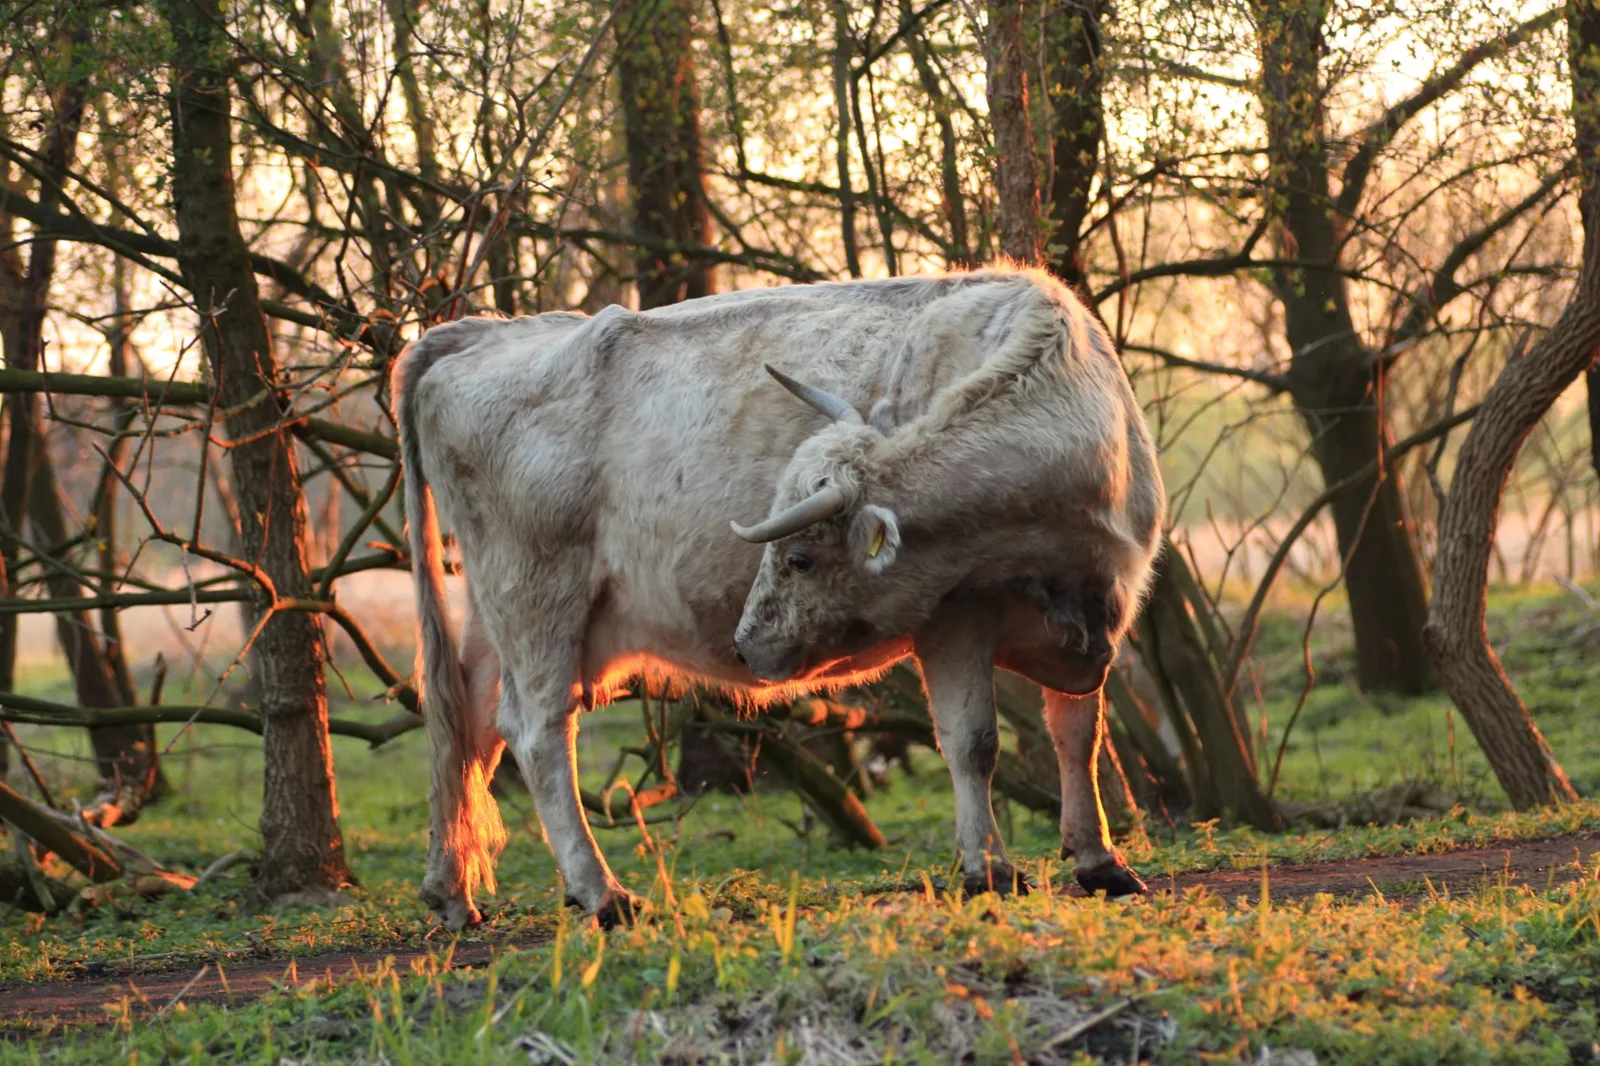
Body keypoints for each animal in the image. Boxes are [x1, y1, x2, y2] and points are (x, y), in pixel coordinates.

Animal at [392, 266, 1165, 930]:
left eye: (798, 556)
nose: (744, 645)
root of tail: (478, 333)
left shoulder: (1095, 616)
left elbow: (1079, 736)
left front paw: (1100, 861)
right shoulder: (955, 618)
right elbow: (973, 743)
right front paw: (990, 871)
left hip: (493, 609)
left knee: (466, 721)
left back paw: (451, 891)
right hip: (537, 593)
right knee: (536, 730)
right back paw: (603, 894)